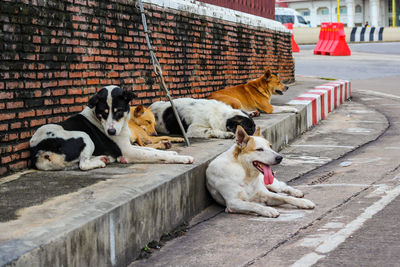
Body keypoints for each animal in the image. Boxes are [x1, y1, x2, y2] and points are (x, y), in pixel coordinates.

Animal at [29, 85, 194, 172]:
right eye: (103, 113)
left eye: (118, 111)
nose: (111, 132)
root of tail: (38, 152)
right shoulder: (127, 150)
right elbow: (153, 153)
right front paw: (182, 158)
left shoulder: (127, 145)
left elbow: (149, 149)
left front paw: (170, 151)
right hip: (84, 136)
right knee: (83, 165)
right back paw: (100, 161)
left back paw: (103, 158)